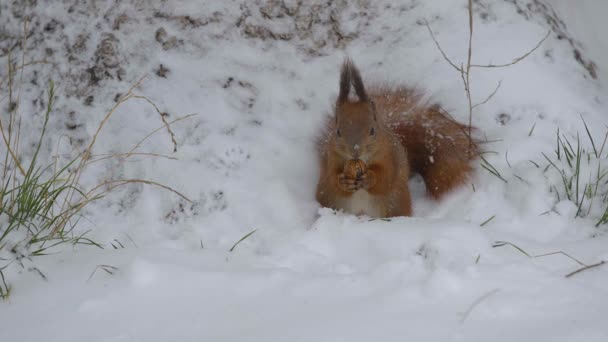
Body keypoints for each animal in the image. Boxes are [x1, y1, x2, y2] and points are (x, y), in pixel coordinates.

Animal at [316, 59, 478, 218]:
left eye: (372, 130)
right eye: (338, 132)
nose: (355, 151)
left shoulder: (389, 155)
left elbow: (385, 177)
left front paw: (370, 178)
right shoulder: (331, 157)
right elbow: (332, 177)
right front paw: (343, 181)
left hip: (394, 203)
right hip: (329, 198)